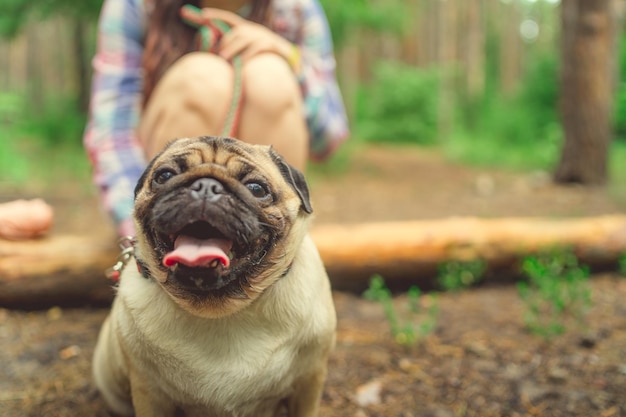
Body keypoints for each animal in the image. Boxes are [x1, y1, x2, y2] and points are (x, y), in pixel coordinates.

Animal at [92, 136, 334, 416]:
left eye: (256, 188)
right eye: (164, 176)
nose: (206, 186)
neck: (220, 310)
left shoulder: (309, 381)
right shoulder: (148, 392)